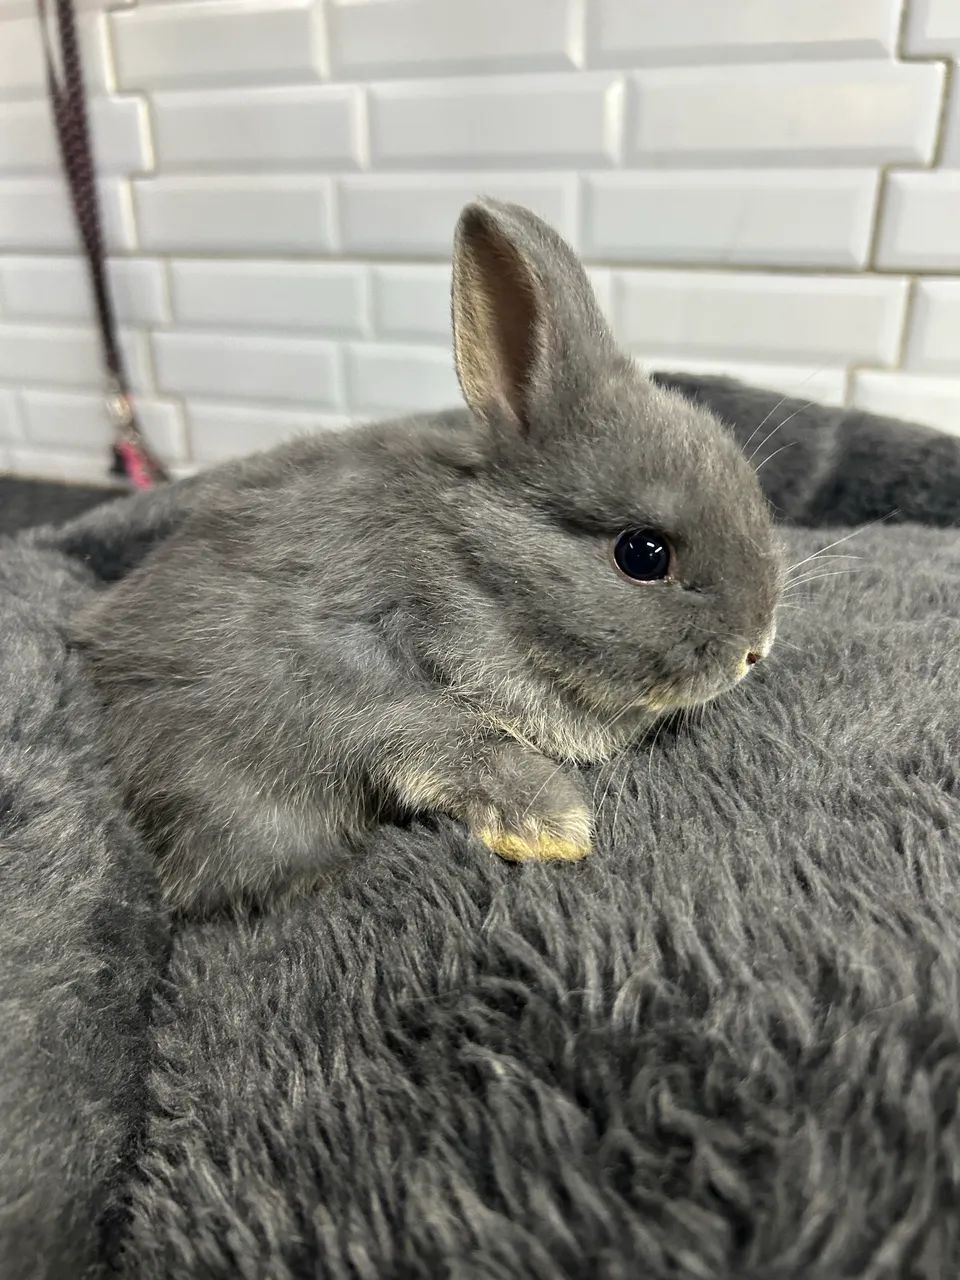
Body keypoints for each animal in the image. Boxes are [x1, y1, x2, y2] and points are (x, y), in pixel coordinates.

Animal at [73, 199, 783, 915]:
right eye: (642, 554)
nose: (756, 649)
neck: (482, 575)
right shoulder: (358, 683)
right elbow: (445, 736)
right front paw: (553, 828)